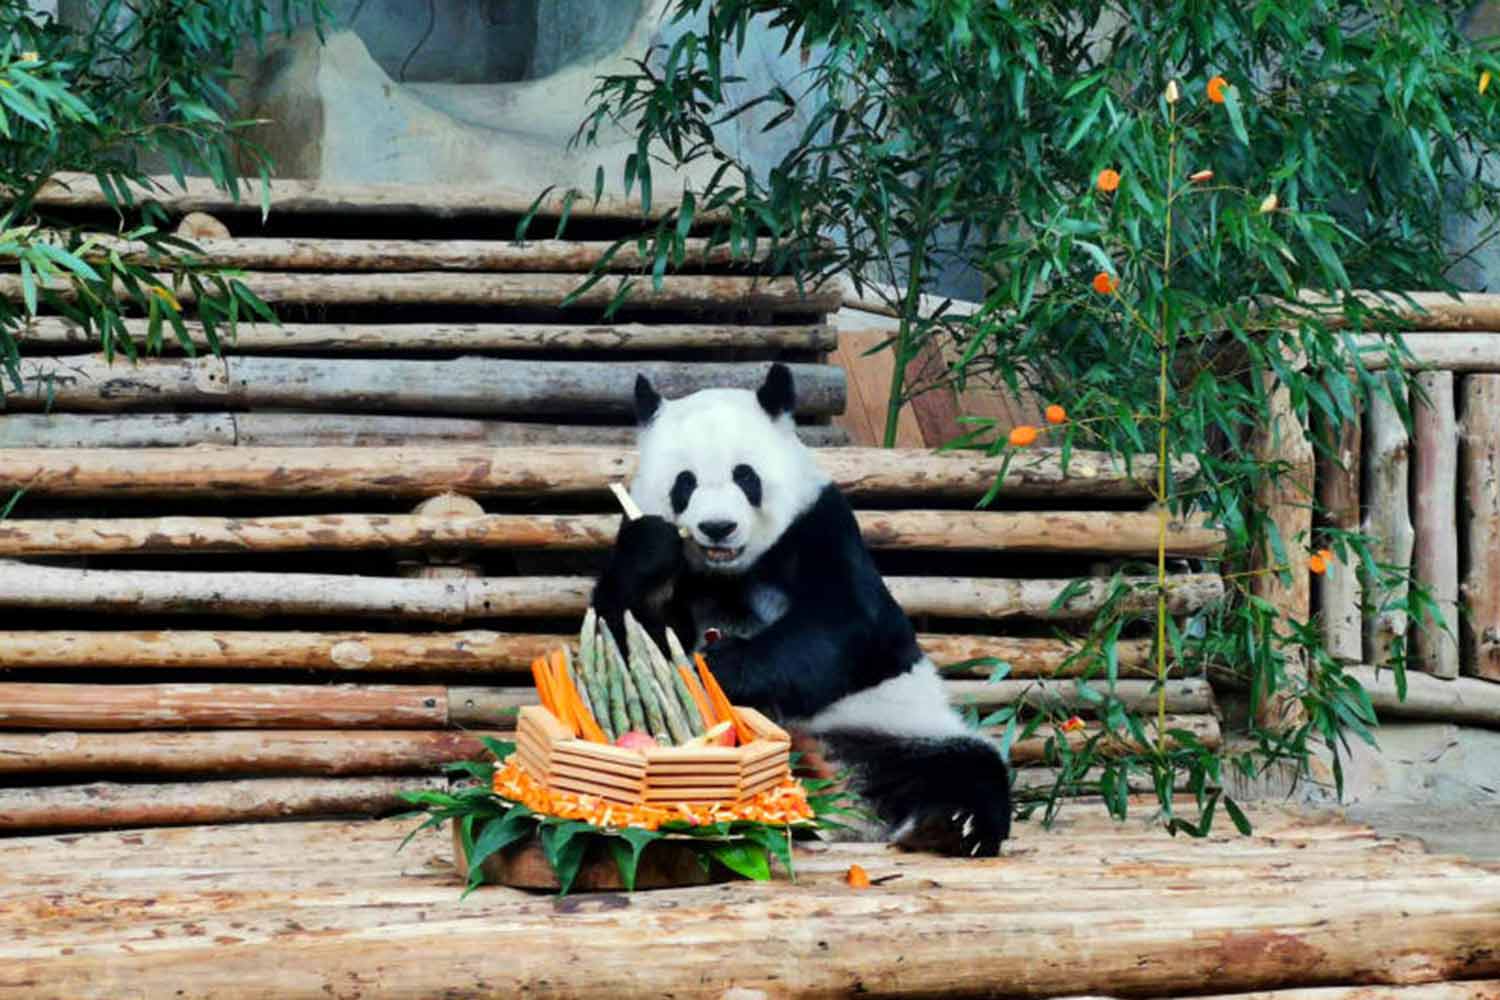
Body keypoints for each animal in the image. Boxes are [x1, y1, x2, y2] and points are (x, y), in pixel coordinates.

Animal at [591, 364, 1014, 857]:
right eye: (685, 482)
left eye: (746, 477)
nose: (718, 527)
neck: (730, 570)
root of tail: (846, 805)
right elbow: (627, 641)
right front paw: (652, 553)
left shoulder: (821, 526)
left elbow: (843, 626)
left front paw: (716, 671)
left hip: (899, 726)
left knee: (968, 766)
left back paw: (951, 826)